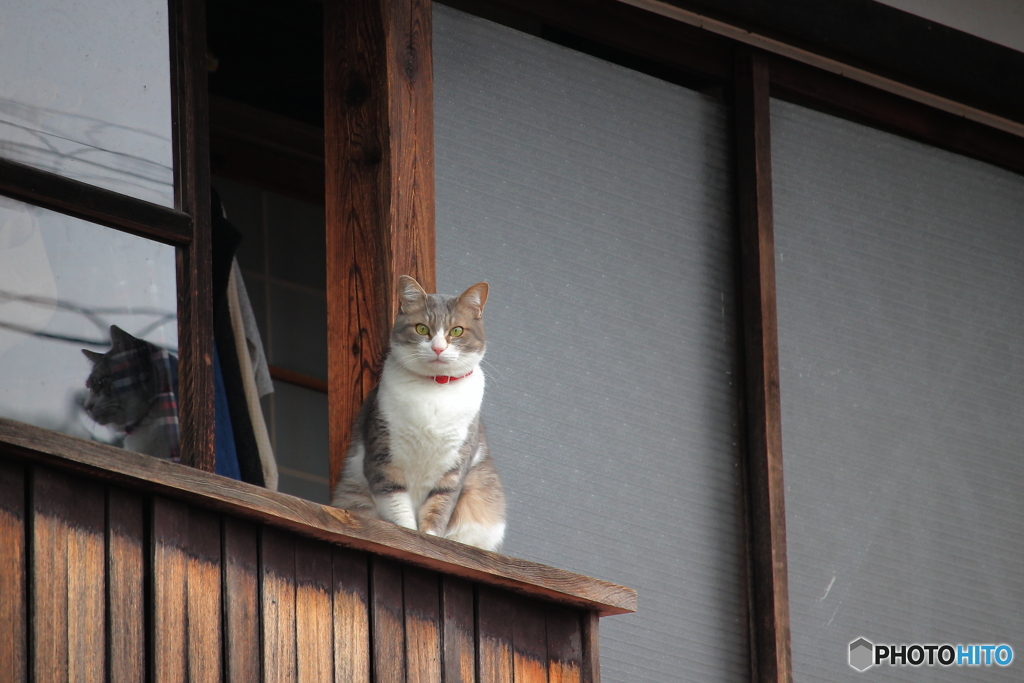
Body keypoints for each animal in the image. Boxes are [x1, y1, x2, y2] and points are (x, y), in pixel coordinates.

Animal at [331, 274, 507, 552]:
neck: (434, 390)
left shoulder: (454, 468)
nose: (438, 348)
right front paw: (409, 536)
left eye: (456, 331)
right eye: (422, 329)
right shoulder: (382, 457)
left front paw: (430, 540)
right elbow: (398, 508)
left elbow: (438, 509)